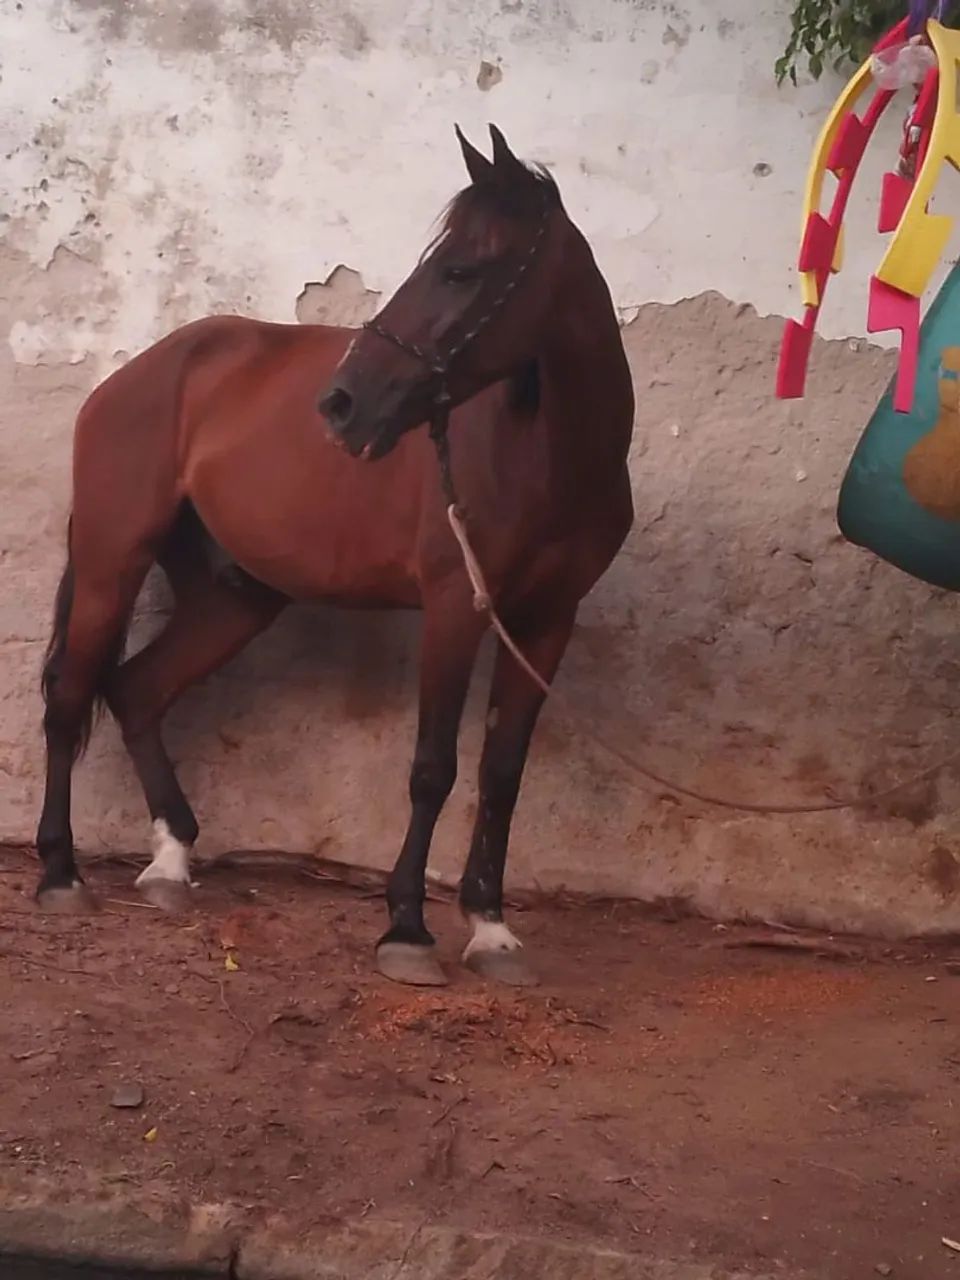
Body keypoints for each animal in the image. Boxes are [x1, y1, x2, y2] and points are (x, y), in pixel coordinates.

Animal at [36, 124, 635, 987]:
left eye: (460, 269)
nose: (343, 404)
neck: (545, 458)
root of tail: (140, 372)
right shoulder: (454, 609)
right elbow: (433, 769)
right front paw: (407, 930)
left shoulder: (548, 620)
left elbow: (501, 771)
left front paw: (491, 929)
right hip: (112, 564)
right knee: (69, 699)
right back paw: (60, 874)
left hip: (235, 597)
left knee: (136, 689)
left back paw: (172, 862)